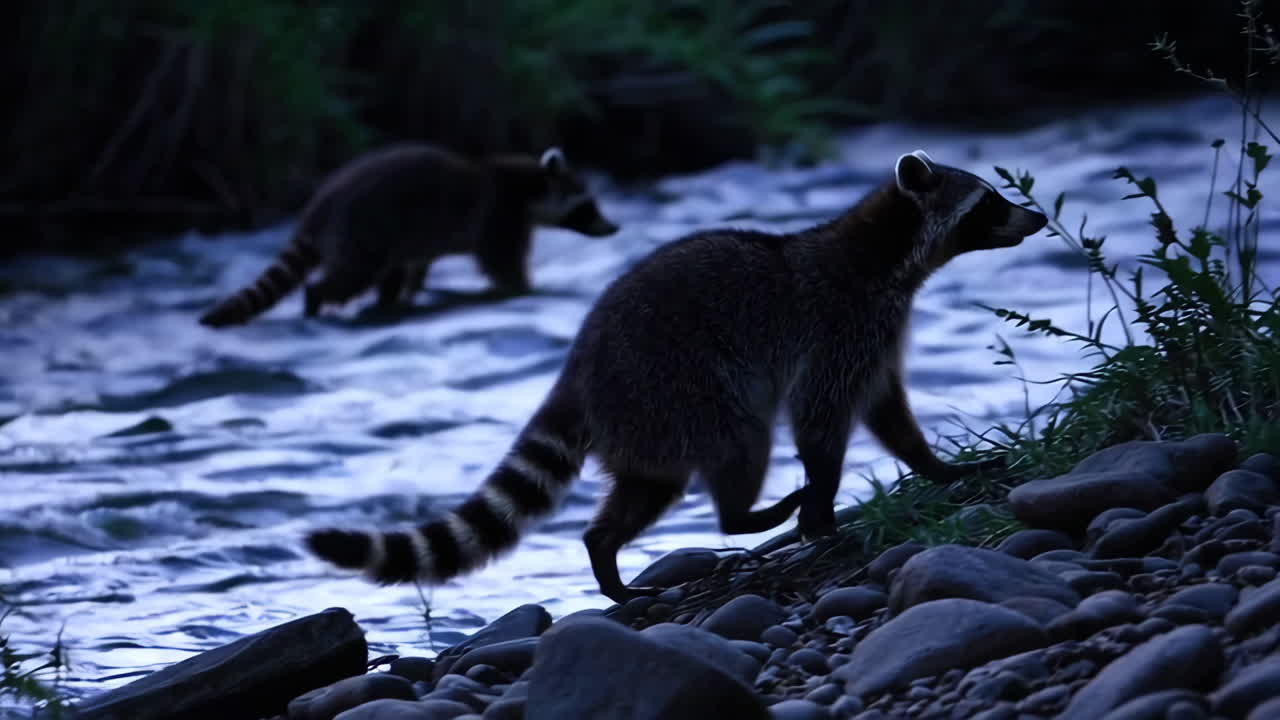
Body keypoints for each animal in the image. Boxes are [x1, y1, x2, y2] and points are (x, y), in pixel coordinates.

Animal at [198, 143, 618, 327]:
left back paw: (389, 303)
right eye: (588, 205)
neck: (528, 184)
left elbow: (419, 268)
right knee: (350, 276)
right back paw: (316, 300)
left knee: (389, 273)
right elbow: (503, 264)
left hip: (389, 233)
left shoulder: (425, 242)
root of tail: (321, 205)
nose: (613, 228)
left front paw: (414, 292)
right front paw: (524, 289)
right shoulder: (500, 218)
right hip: (363, 229)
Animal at [305, 150, 1048, 603]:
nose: (1038, 215)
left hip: (646, 418)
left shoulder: (875, 333)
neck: (884, 251)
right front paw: (822, 508)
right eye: (989, 201)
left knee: (646, 488)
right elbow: (820, 420)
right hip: (678, 387)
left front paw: (938, 467)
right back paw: (746, 515)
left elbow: (888, 413)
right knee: (743, 440)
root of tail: (582, 362)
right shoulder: (840, 323)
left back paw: (607, 556)